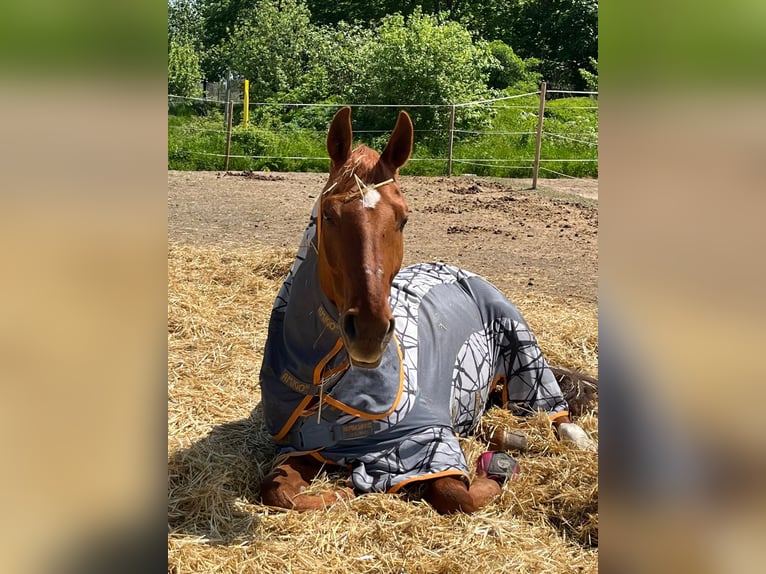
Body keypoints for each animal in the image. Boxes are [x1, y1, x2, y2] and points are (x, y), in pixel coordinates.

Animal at [258, 106, 592, 516]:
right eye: (330, 214)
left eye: (403, 218)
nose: (369, 332)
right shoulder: (304, 446)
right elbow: (279, 492)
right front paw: (338, 492)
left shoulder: (430, 442)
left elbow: (455, 494)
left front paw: (498, 472)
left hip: (526, 364)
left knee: (554, 415)